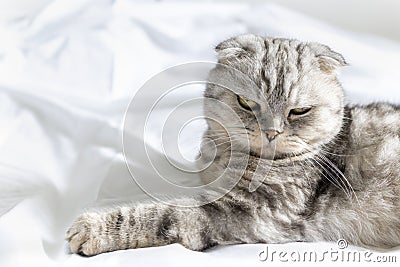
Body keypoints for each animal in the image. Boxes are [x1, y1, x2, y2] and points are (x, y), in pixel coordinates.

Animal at [66, 34, 400, 256]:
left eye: (299, 111)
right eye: (246, 102)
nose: (271, 132)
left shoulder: (252, 211)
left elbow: (159, 213)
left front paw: (93, 228)